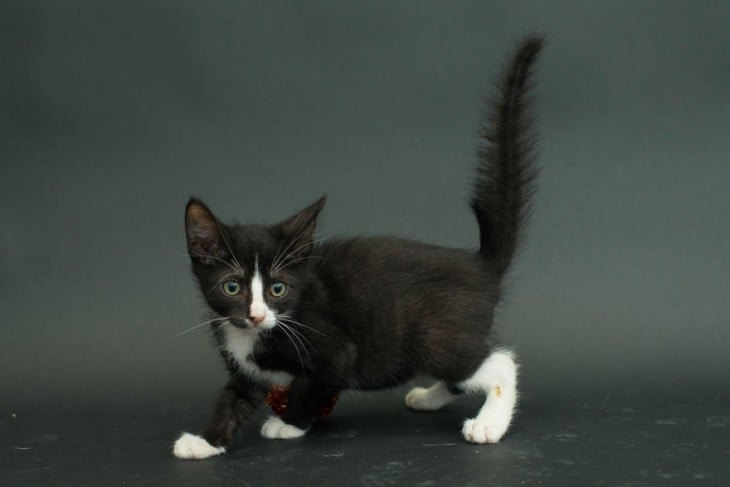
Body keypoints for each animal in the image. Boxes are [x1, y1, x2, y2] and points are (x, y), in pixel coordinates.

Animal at [173, 38, 544, 462]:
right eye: (232, 287)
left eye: (277, 288)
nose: (255, 315)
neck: (256, 334)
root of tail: (480, 266)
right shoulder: (248, 369)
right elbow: (232, 400)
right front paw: (204, 442)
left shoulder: (336, 350)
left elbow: (314, 388)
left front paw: (287, 424)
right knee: (461, 374)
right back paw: (428, 398)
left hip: (438, 335)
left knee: (498, 364)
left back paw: (488, 425)